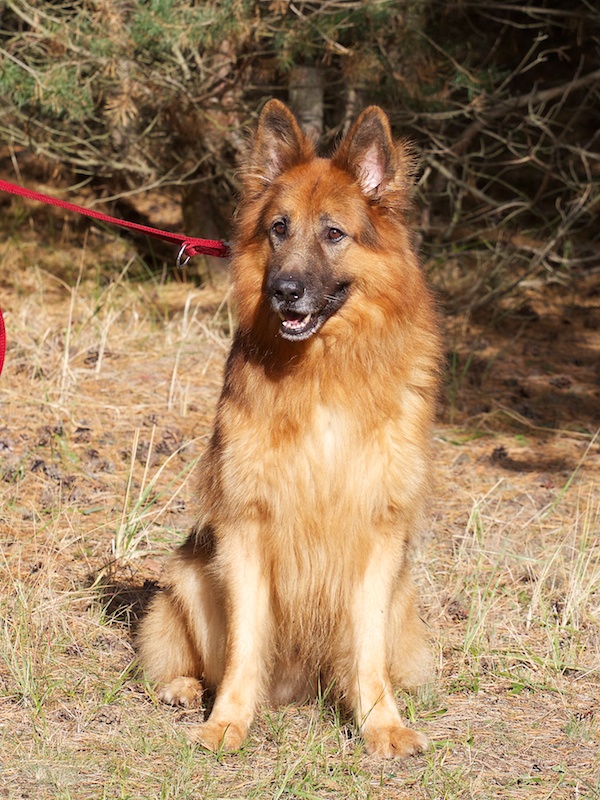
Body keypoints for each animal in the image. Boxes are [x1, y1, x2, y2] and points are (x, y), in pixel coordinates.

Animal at [137, 99, 441, 758]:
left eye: (334, 233)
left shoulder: (377, 531)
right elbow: (245, 646)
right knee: (189, 657)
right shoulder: (246, 528)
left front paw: (381, 724)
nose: (283, 292)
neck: (322, 372)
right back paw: (184, 689)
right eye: (278, 227)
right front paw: (228, 721)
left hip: (402, 594)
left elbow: (367, 650)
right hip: (189, 576)